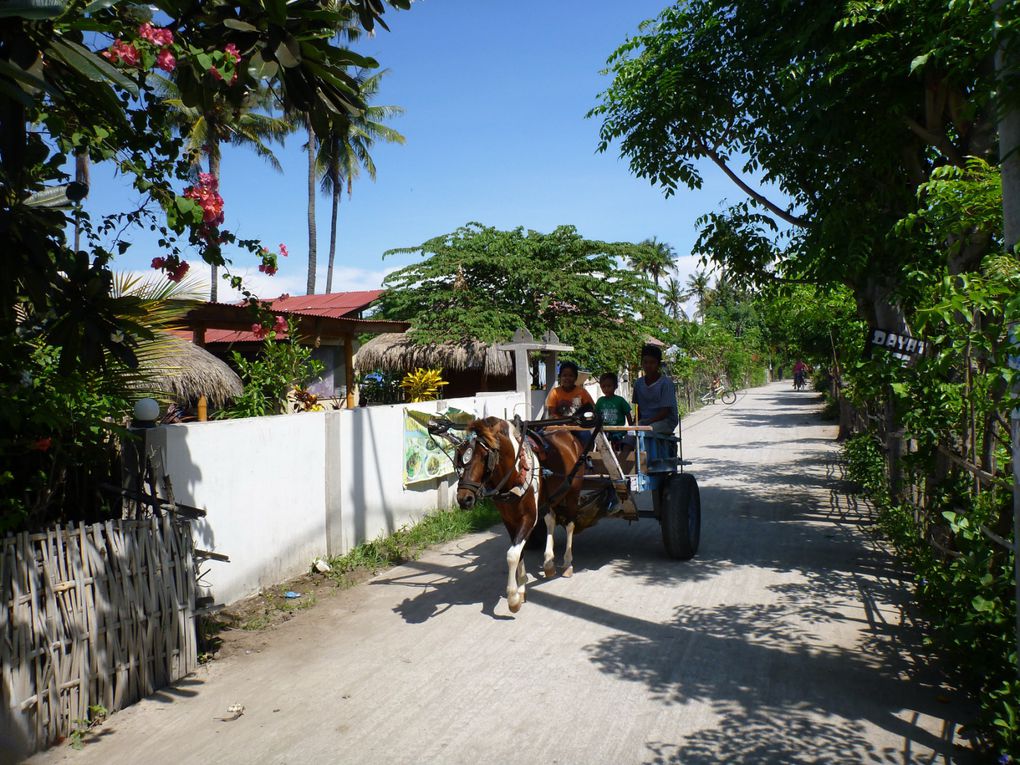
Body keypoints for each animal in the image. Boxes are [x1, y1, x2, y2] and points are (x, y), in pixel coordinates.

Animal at [456, 416, 591, 616]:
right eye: (460, 456)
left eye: (484, 456)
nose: (464, 499)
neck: (514, 476)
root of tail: (567, 431)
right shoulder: (509, 520)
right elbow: (519, 552)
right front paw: (521, 589)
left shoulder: (529, 517)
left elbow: (512, 554)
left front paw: (513, 598)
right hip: (551, 496)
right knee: (550, 520)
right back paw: (549, 562)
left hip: (572, 491)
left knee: (570, 524)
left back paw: (567, 563)